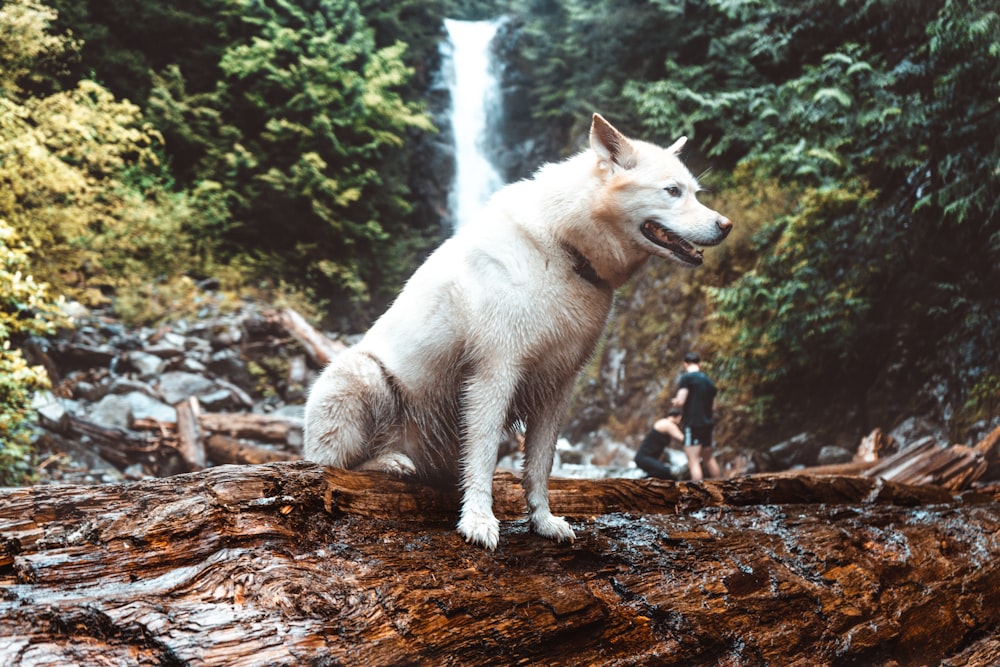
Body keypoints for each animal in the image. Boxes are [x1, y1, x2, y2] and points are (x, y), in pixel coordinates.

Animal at [300, 113, 732, 548]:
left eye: (695, 193)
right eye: (672, 191)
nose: (727, 225)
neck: (562, 249)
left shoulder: (557, 388)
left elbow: (539, 466)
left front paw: (542, 521)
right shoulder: (495, 372)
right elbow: (486, 453)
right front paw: (478, 520)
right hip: (361, 374)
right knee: (331, 465)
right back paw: (389, 461)